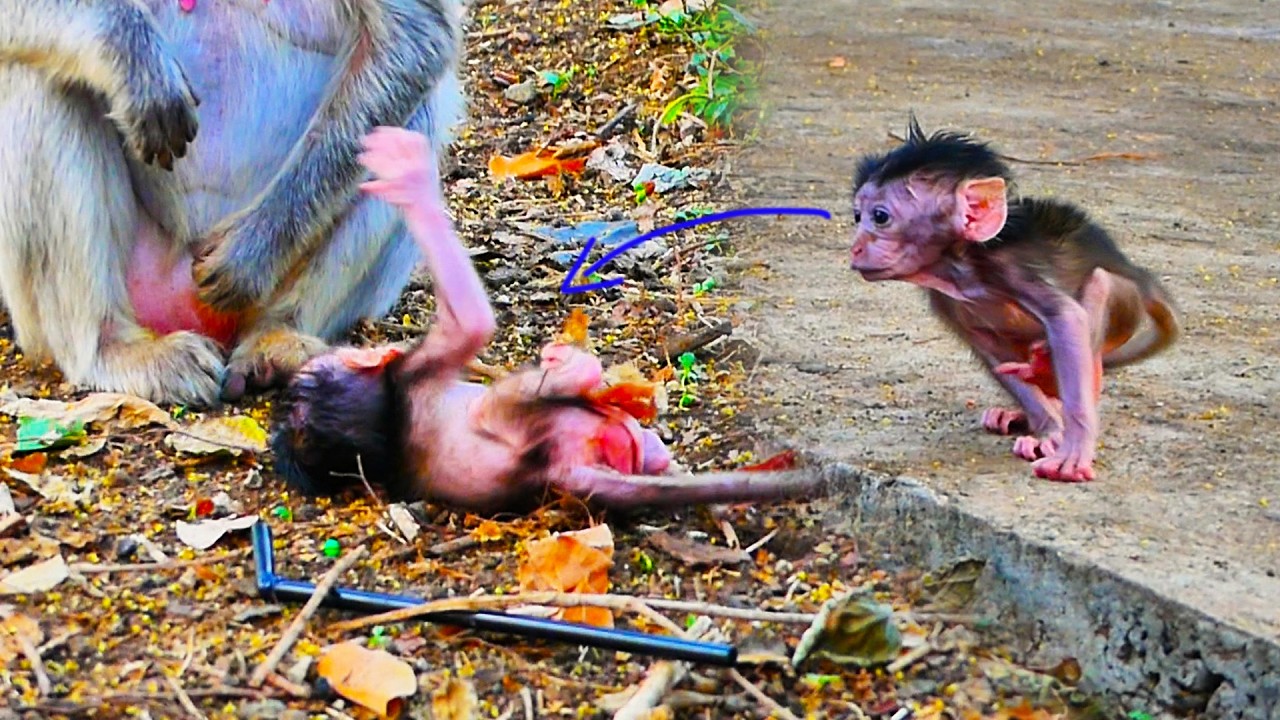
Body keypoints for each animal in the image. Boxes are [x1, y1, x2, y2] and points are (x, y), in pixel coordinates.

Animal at [0, 0, 465, 406]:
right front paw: (135, 57)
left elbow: (416, 33)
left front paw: (251, 253)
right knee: (40, 78)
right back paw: (111, 348)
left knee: (412, 120)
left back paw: (277, 336)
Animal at [270, 127, 824, 514]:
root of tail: (564, 471)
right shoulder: (414, 370)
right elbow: (471, 325)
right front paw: (410, 181)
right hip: (528, 412)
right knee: (561, 385)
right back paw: (570, 363)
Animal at [848, 116, 1180, 483]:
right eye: (857, 216)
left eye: (880, 217)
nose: (856, 248)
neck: (963, 268)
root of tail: (1136, 272)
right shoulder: (944, 300)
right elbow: (988, 349)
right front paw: (1050, 429)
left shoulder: (1011, 268)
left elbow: (1066, 317)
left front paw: (1072, 449)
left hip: (1125, 302)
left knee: (1098, 285)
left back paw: (1049, 372)